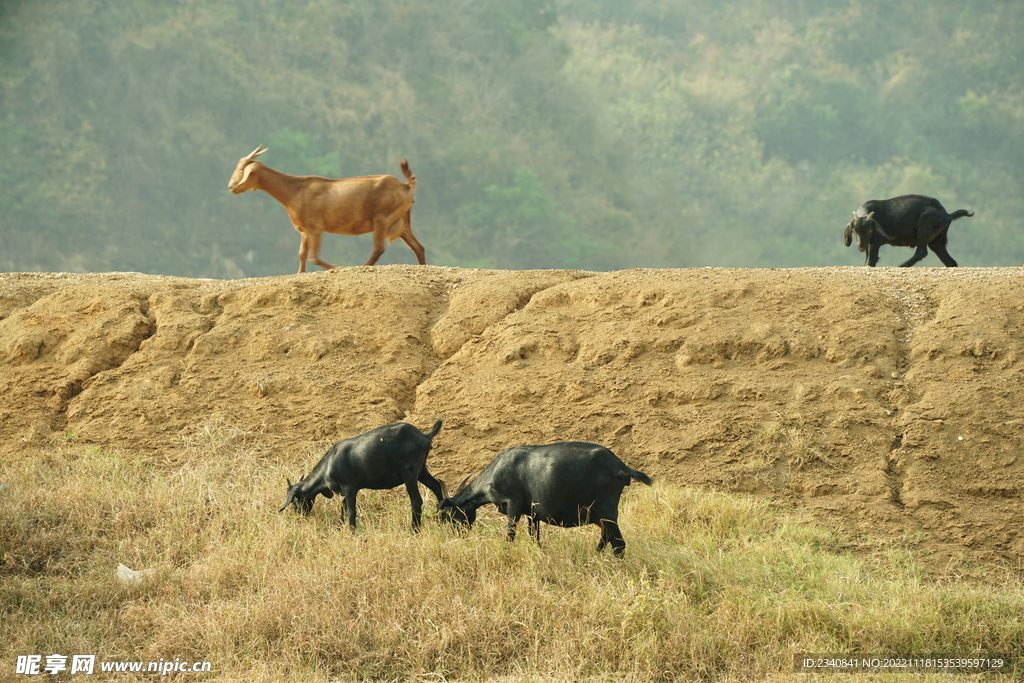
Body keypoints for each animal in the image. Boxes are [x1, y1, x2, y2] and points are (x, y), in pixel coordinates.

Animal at [228, 146, 423, 272]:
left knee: (379, 248)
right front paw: (300, 273)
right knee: (418, 247)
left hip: (381, 218)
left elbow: (313, 257)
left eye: (244, 171)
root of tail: (406, 186)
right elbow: (302, 255)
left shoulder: (315, 229)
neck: (295, 191)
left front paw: (336, 267)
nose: (231, 187)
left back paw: (363, 266)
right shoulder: (305, 231)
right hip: (401, 221)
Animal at [280, 419, 444, 532]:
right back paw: (442, 518)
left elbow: (350, 511)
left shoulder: (349, 487)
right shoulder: (347, 491)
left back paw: (414, 530)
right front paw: (340, 527)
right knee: (437, 485)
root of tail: (425, 436)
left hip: (409, 473)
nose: (299, 514)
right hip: (421, 470)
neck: (328, 466)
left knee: (416, 500)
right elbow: (343, 506)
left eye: (295, 500)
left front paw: (352, 532)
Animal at [436, 440, 651, 557]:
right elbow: (534, 538)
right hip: (598, 515)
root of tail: (622, 468)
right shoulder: (532, 513)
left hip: (606, 510)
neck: (494, 473)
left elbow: (510, 535)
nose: (458, 536)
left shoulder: (513, 504)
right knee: (606, 537)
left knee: (619, 544)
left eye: (448, 516)